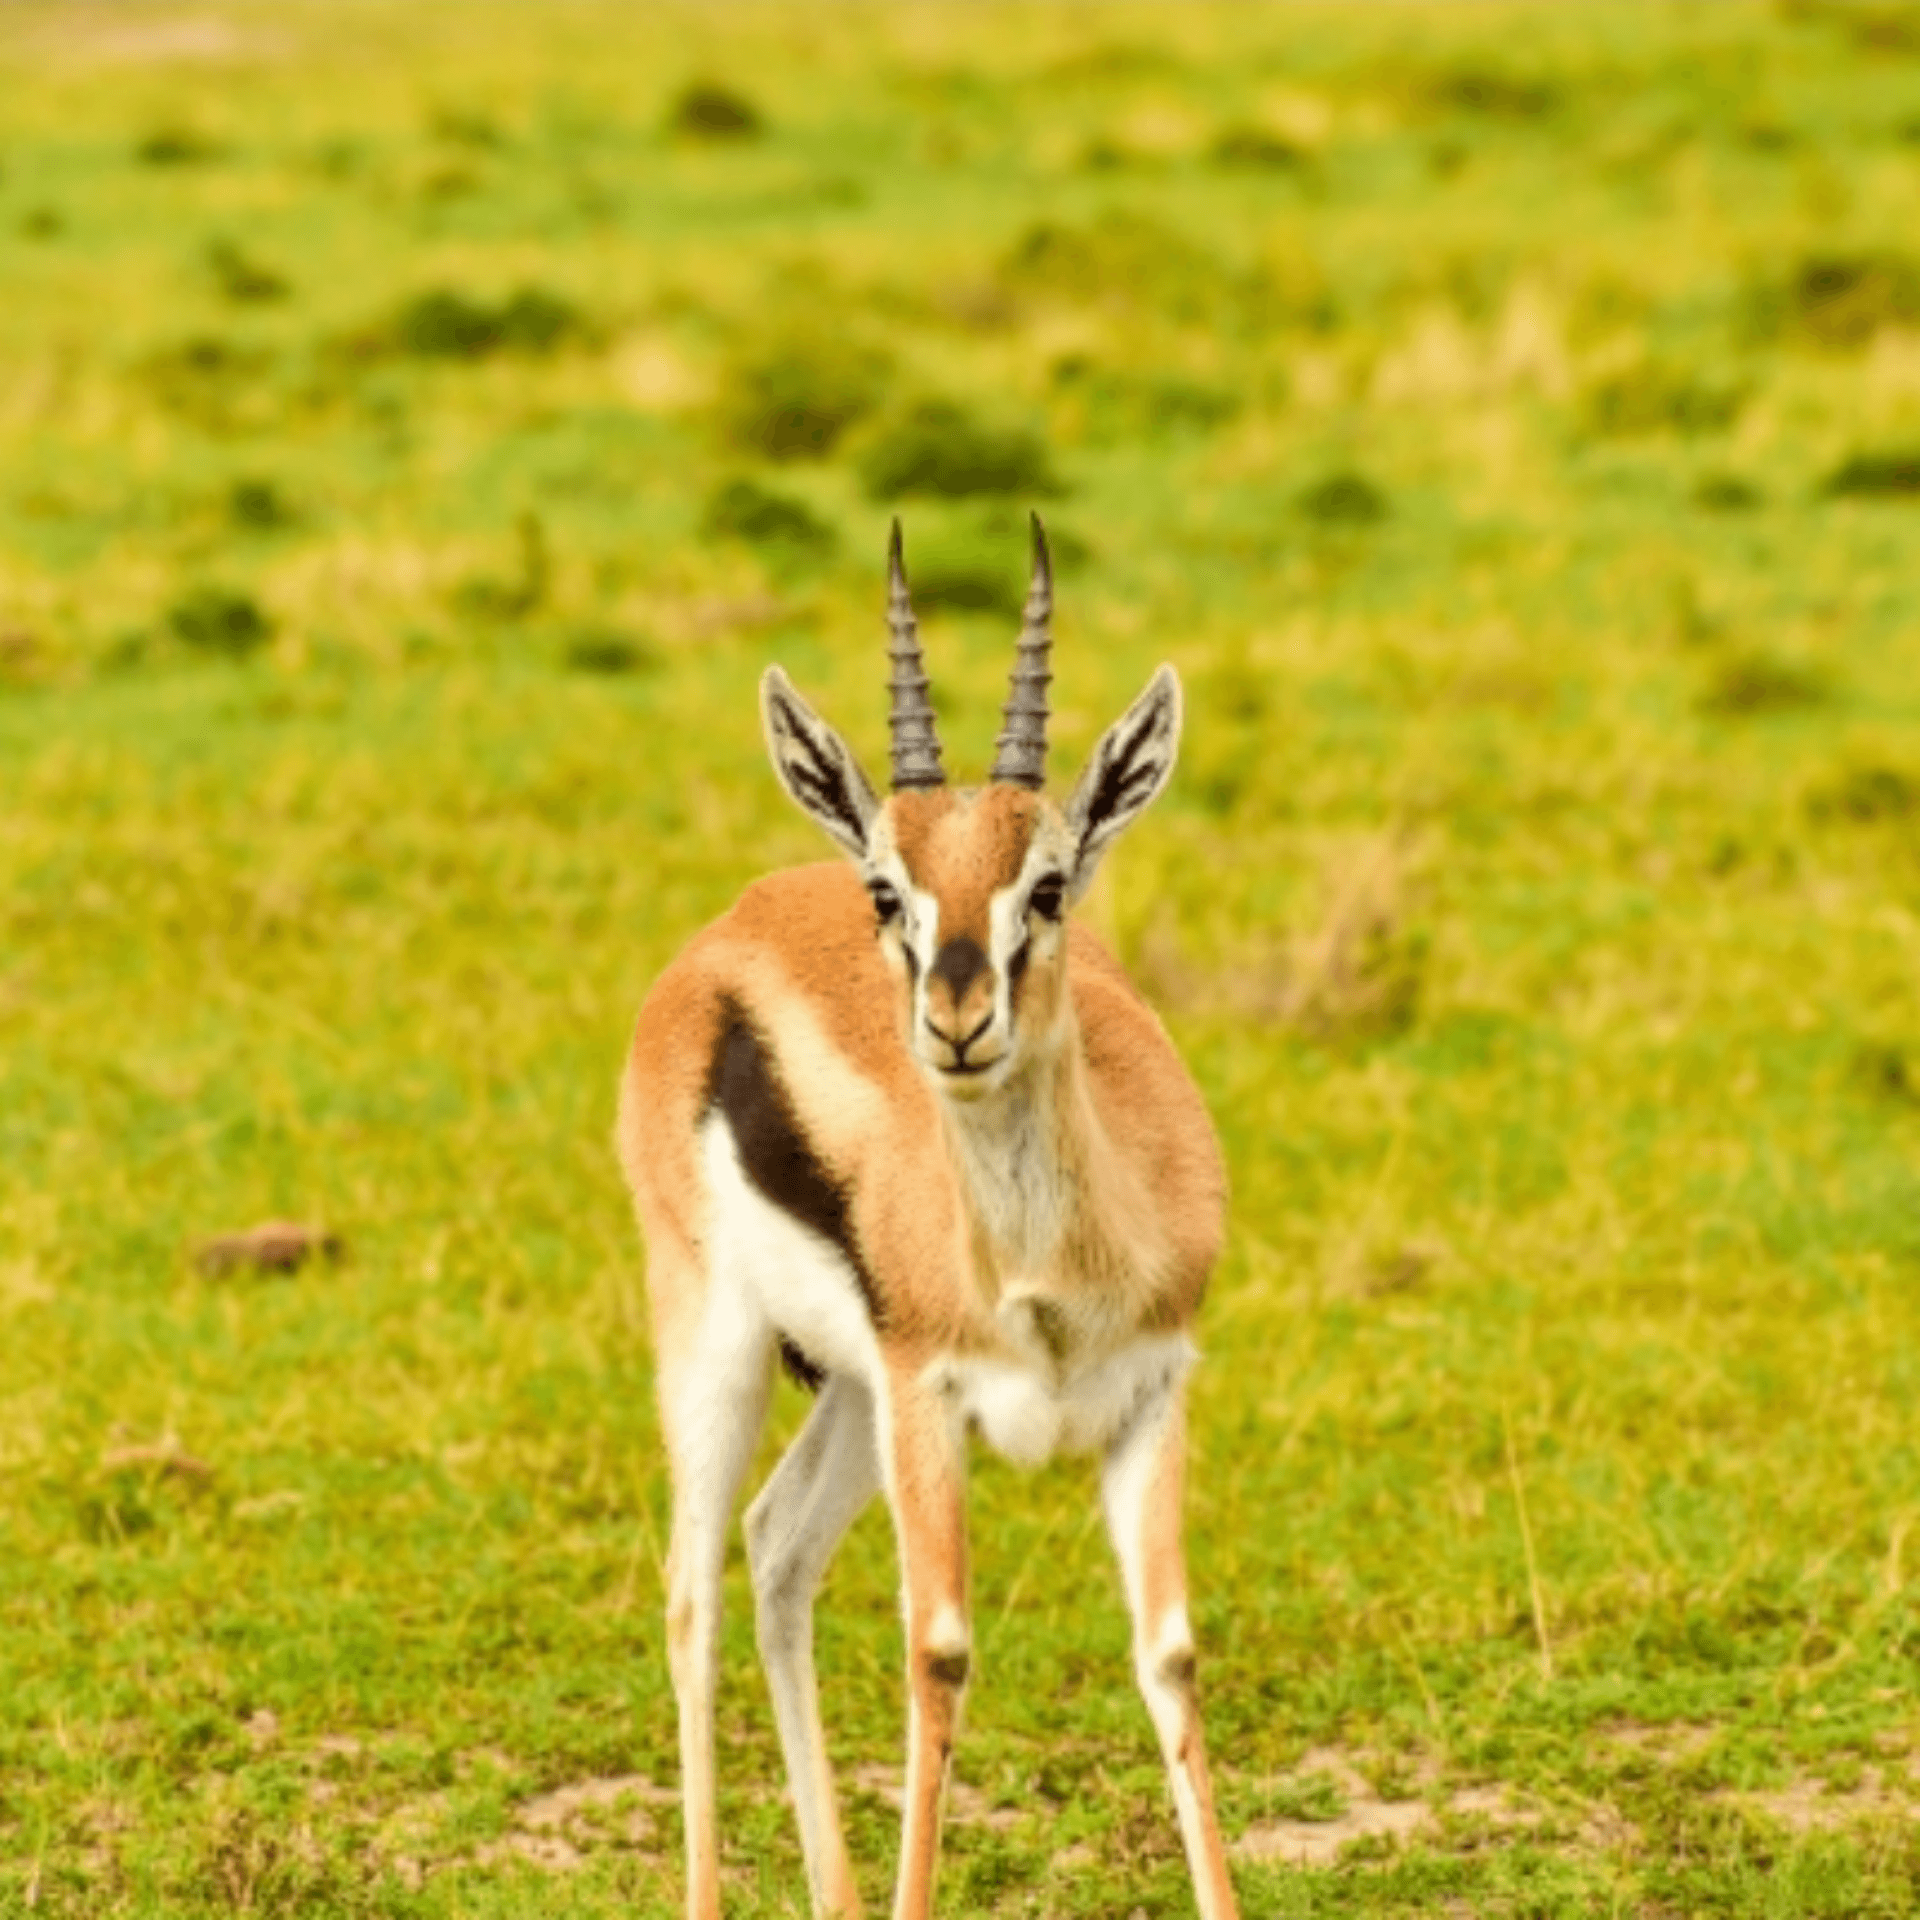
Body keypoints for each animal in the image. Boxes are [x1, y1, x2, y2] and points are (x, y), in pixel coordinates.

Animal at [616, 517, 1239, 1920]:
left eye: (1049, 886)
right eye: (890, 892)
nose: (956, 1021)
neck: (1048, 1273)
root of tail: (727, 927)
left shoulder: (1154, 1389)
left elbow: (1169, 1656)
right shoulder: (930, 1396)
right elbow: (939, 1652)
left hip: (851, 1394)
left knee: (774, 1548)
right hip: (727, 1345)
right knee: (692, 1590)